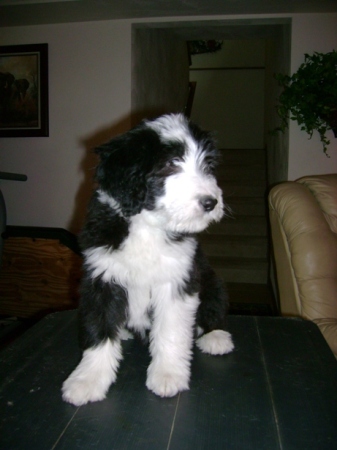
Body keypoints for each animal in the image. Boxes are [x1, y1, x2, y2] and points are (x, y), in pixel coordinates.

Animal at [61, 114, 232, 406]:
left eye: (208, 165)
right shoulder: (102, 277)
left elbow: (171, 332)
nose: (211, 202)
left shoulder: (178, 279)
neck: (147, 224)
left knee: (214, 306)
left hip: (211, 280)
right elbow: (99, 330)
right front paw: (87, 381)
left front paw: (168, 375)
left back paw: (216, 336)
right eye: (170, 164)